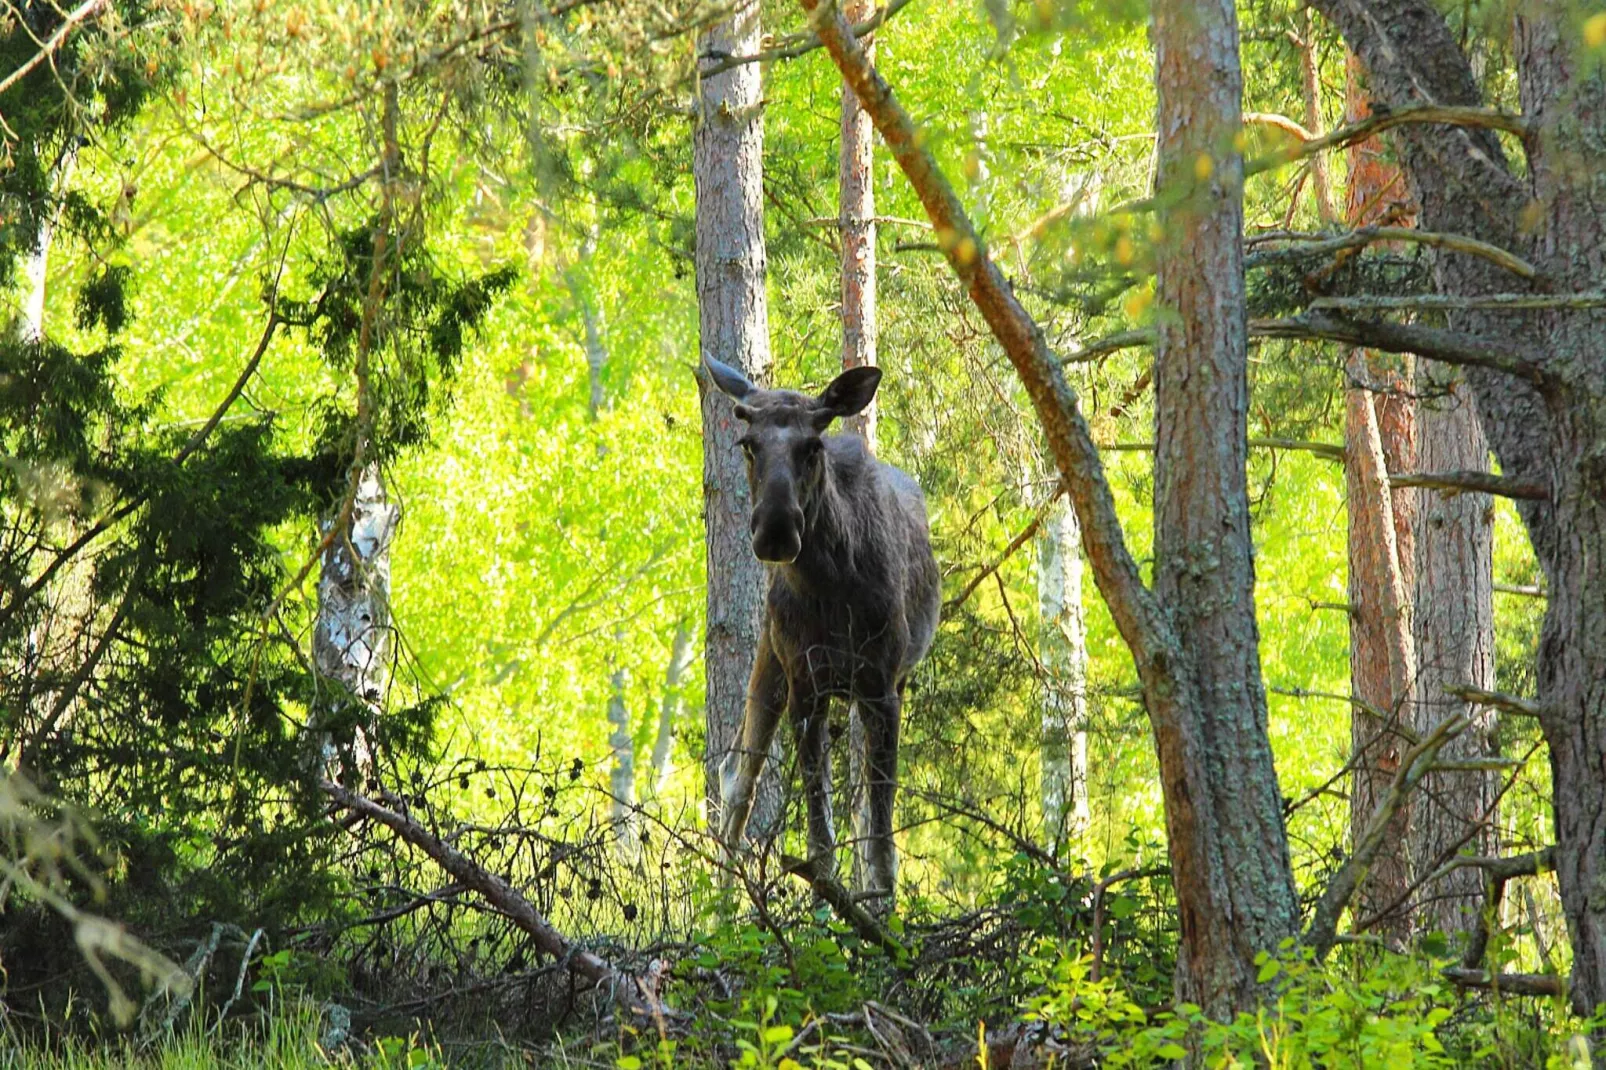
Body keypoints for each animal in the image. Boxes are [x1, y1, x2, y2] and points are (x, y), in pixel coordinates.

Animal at [703, 353, 937, 893]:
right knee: (736, 775)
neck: (831, 587)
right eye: (747, 444)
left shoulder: (881, 685)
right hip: (773, 657)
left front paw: (880, 908)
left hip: (887, 677)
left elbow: (880, 839)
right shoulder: (806, 685)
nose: (775, 529)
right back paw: (719, 902)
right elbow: (820, 840)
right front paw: (825, 907)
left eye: (814, 446)